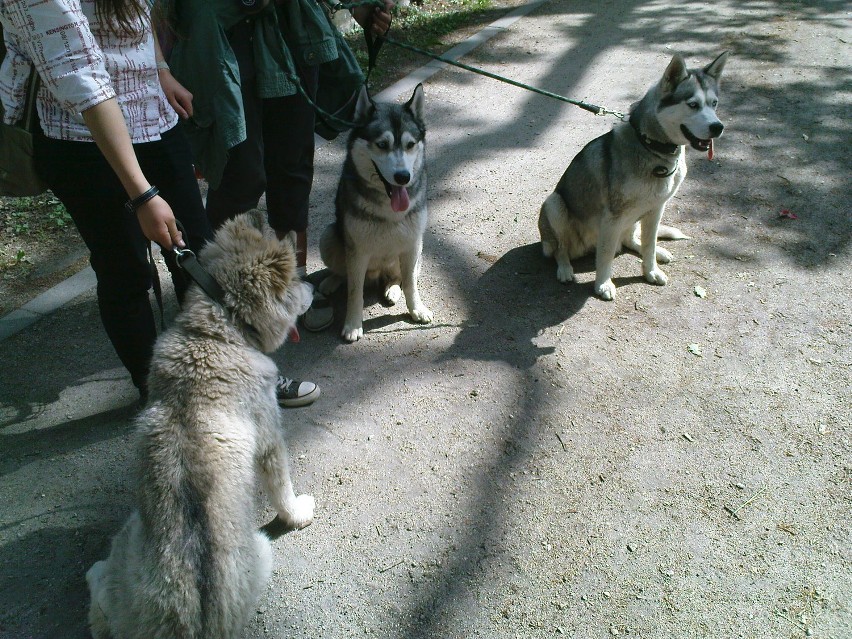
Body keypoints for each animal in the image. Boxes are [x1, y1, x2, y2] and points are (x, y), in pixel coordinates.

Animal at [86, 212, 316, 636]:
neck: (217, 332)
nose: (312, 286)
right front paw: (297, 513)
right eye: (294, 282)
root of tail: (184, 622)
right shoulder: (270, 438)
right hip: (260, 548)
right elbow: (282, 488)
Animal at [320, 85, 432, 344]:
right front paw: (353, 324)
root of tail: (377, 275)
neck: (388, 208)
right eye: (382, 144)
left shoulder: (412, 244)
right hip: (328, 236)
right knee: (342, 272)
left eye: (410, 144)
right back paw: (331, 280)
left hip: (417, 251)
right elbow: (354, 292)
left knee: (398, 277)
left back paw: (392, 289)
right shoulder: (357, 252)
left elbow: (411, 283)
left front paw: (416, 309)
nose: (403, 177)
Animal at [540, 52, 724, 300]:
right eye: (693, 105)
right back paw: (565, 269)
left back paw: (660, 252)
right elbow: (606, 255)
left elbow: (649, 245)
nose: (718, 127)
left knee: (632, 240)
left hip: (636, 217)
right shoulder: (612, 217)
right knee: (562, 249)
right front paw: (603, 284)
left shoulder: (656, 209)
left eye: (714, 104)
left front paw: (651, 271)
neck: (651, 147)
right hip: (554, 204)